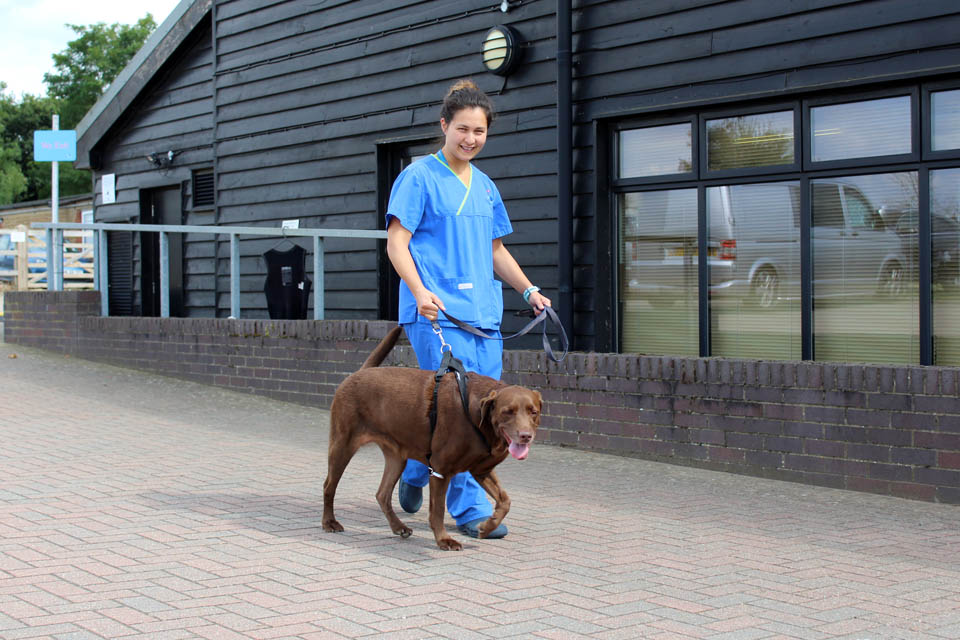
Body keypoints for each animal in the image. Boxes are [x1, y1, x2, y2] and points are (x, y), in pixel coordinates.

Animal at [322, 324, 544, 552]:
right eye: (507, 412)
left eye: (533, 412)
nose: (525, 436)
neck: (477, 417)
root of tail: (358, 373)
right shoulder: (440, 469)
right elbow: (437, 510)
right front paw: (444, 540)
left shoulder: (481, 469)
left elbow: (505, 500)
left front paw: (486, 527)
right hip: (342, 445)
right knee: (329, 486)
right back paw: (330, 522)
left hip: (396, 456)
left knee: (382, 494)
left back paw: (399, 527)